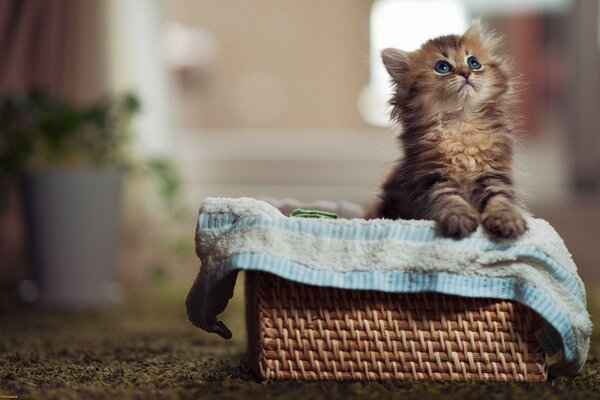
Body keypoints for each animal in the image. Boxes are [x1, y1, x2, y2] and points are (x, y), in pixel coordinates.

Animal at [372, 21, 528, 239]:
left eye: (473, 63)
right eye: (442, 67)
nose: (465, 73)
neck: (460, 123)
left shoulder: (495, 173)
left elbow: (500, 199)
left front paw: (506, 219)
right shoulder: (432, 177)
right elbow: (448, 198)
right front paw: (459, 218)